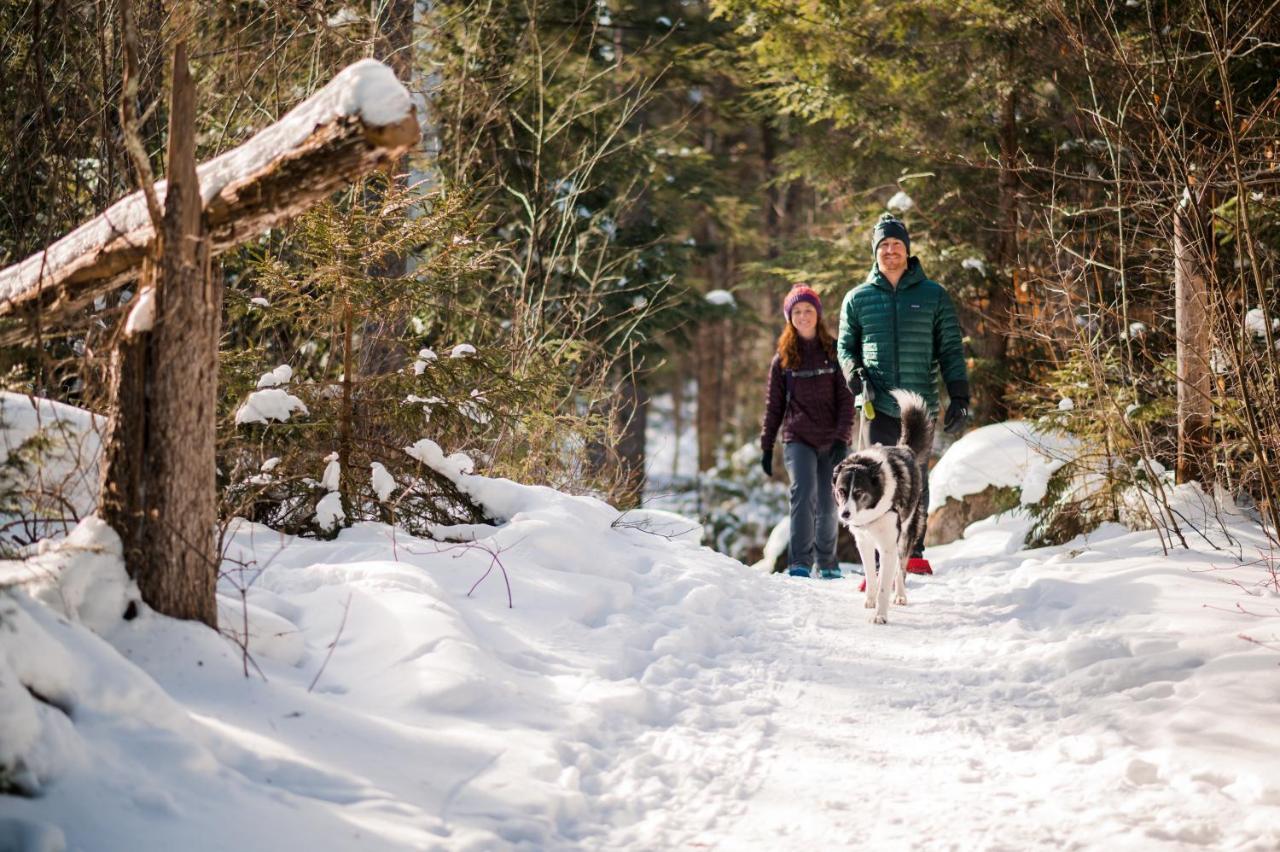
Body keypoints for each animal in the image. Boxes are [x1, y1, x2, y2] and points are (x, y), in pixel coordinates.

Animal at [829, 388, 931, 621]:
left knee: (901, 570)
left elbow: (886, 583)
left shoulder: (887, 547)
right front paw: (870, 600)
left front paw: (880, 615)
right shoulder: (864, 543)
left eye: (859, 492)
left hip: (905, 536)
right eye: (841, 491)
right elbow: (871, 575)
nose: (845, 514)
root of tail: (905, 448)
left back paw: (900, 596)